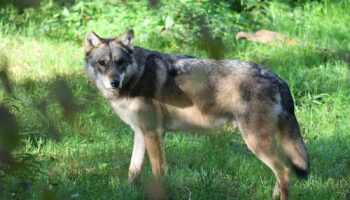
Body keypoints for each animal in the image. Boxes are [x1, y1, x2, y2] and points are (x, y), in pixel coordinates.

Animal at [84, 28, 308, 199]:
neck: (136, 77)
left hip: (256, 142)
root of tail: (275, 77)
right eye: (102, 63)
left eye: (120, 62)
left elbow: (158, 172)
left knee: (284, 171)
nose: (114, 82)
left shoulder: (154, 134)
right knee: (282, 171)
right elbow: (133, 171)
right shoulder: (141, 133)